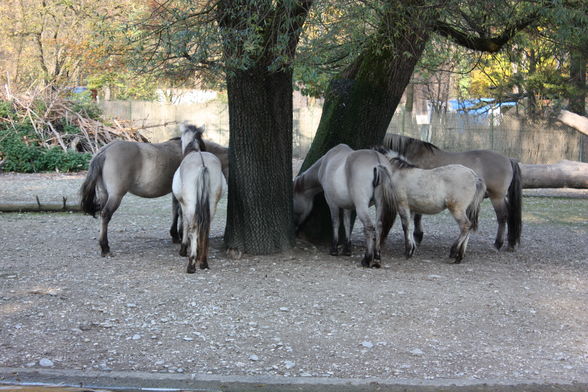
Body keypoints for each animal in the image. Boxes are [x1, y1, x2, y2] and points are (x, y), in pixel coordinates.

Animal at [78, 124, 225, 256]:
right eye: (201, 139)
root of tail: (105, 151)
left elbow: (175, 211)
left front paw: (175, 234)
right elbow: (179, 212)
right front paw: (178, 234)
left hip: (104, 193)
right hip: (116, 195)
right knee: (105, 215)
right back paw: (105, 248)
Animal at [173, 124, 226, 272]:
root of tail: (203, 165)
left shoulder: (183, 204)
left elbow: (184, 223)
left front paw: (183, 249)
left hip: (191, 204)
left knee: (194, 227)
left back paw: (191, 264)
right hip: (212, 203)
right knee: (205, 227)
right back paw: (203, 261)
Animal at [384, 134, 520, 251]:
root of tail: (508, 159)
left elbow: (418, 216)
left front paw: (418, 236)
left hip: (496, 197)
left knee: (502, 217)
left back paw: (498, 243)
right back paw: (510, 243)